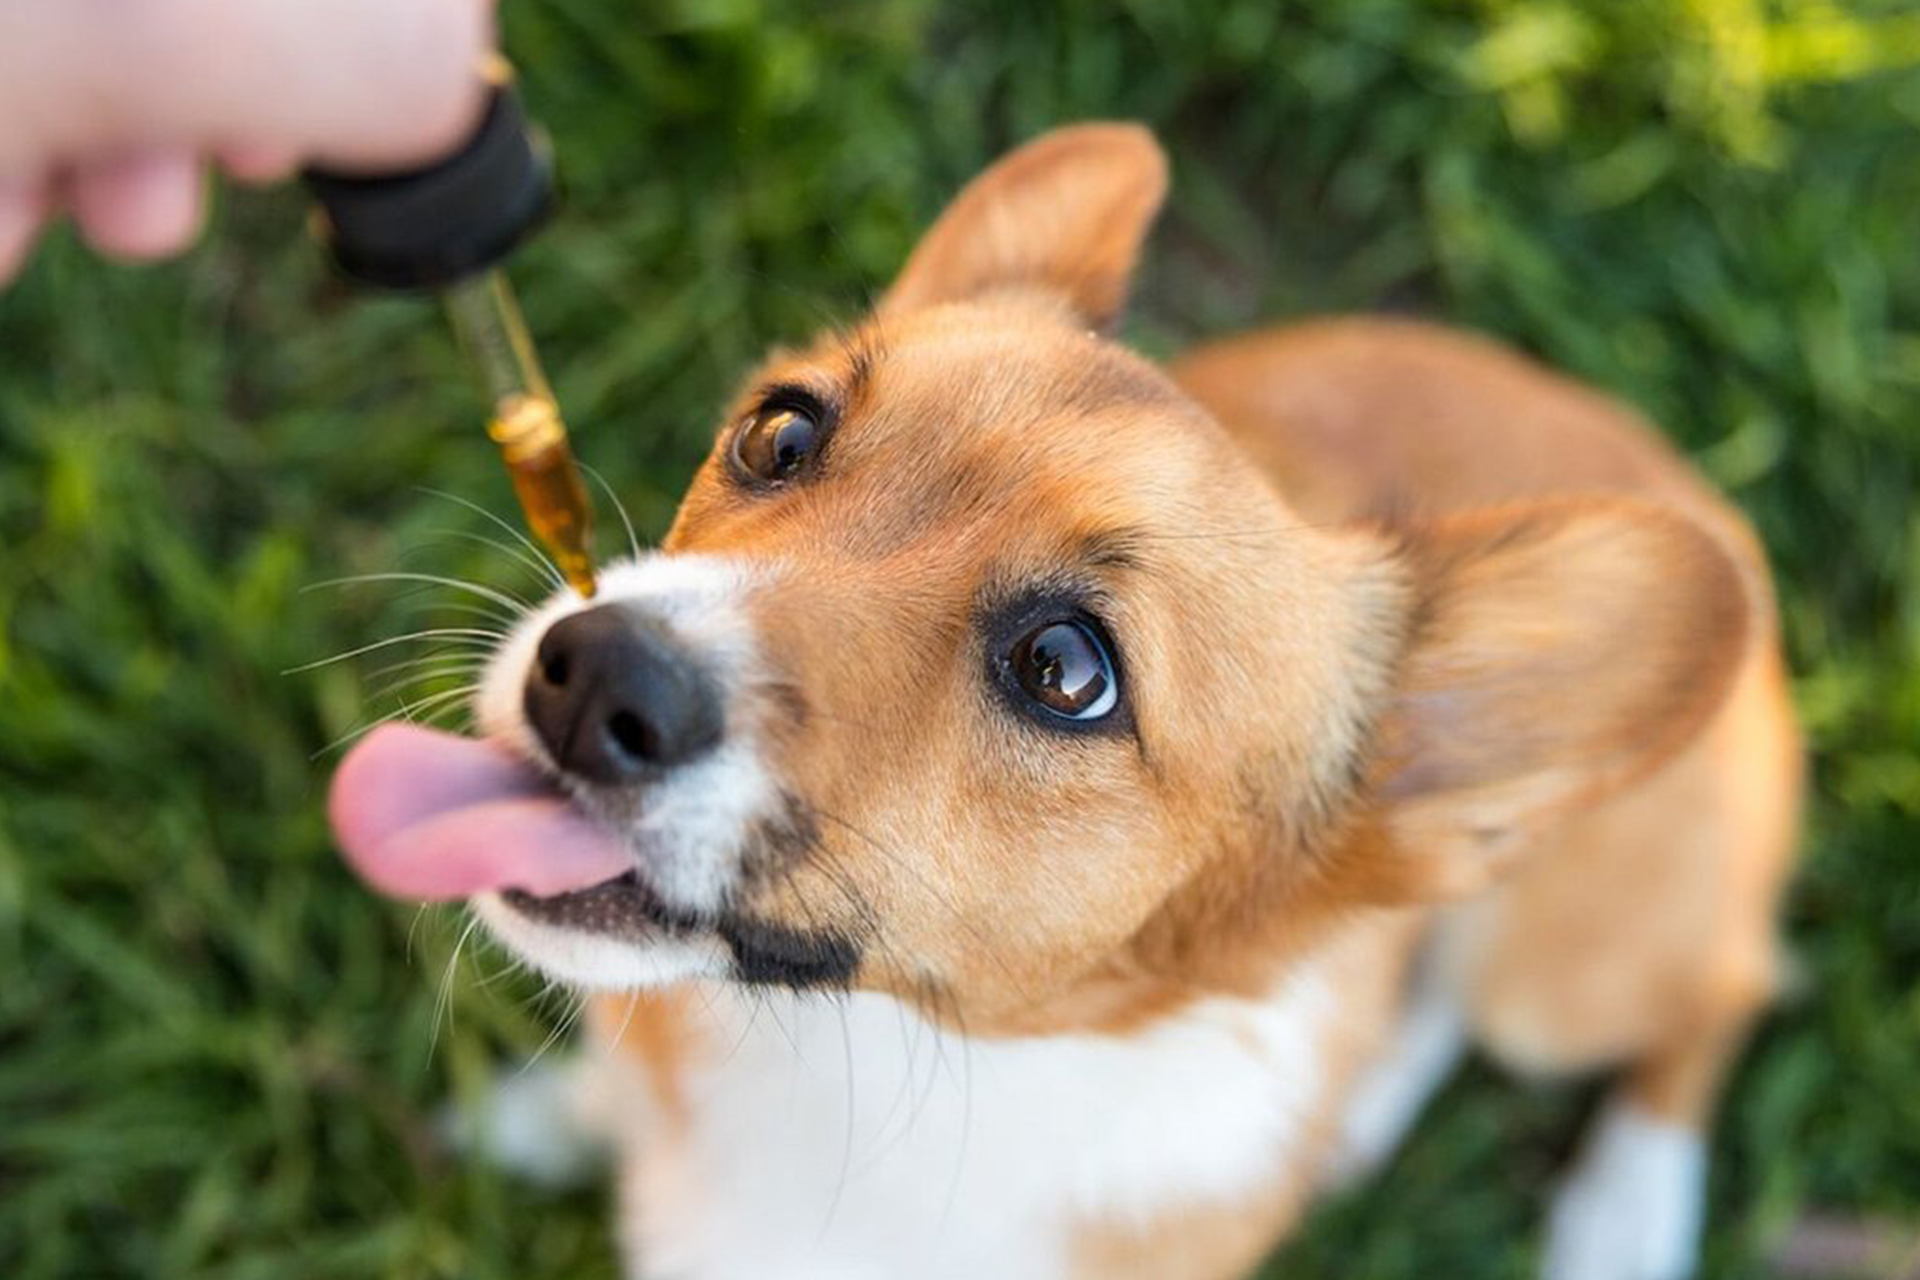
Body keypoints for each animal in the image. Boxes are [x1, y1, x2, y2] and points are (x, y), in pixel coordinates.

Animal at [330, 122, 1797, 1280]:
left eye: (1068, 671)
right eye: (780, 432)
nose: (589, 677)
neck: (871, 1068)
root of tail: (1701, 490)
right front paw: (555, 1115)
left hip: (1561, 972)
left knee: (1719, 985)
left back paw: (1622, 1214)